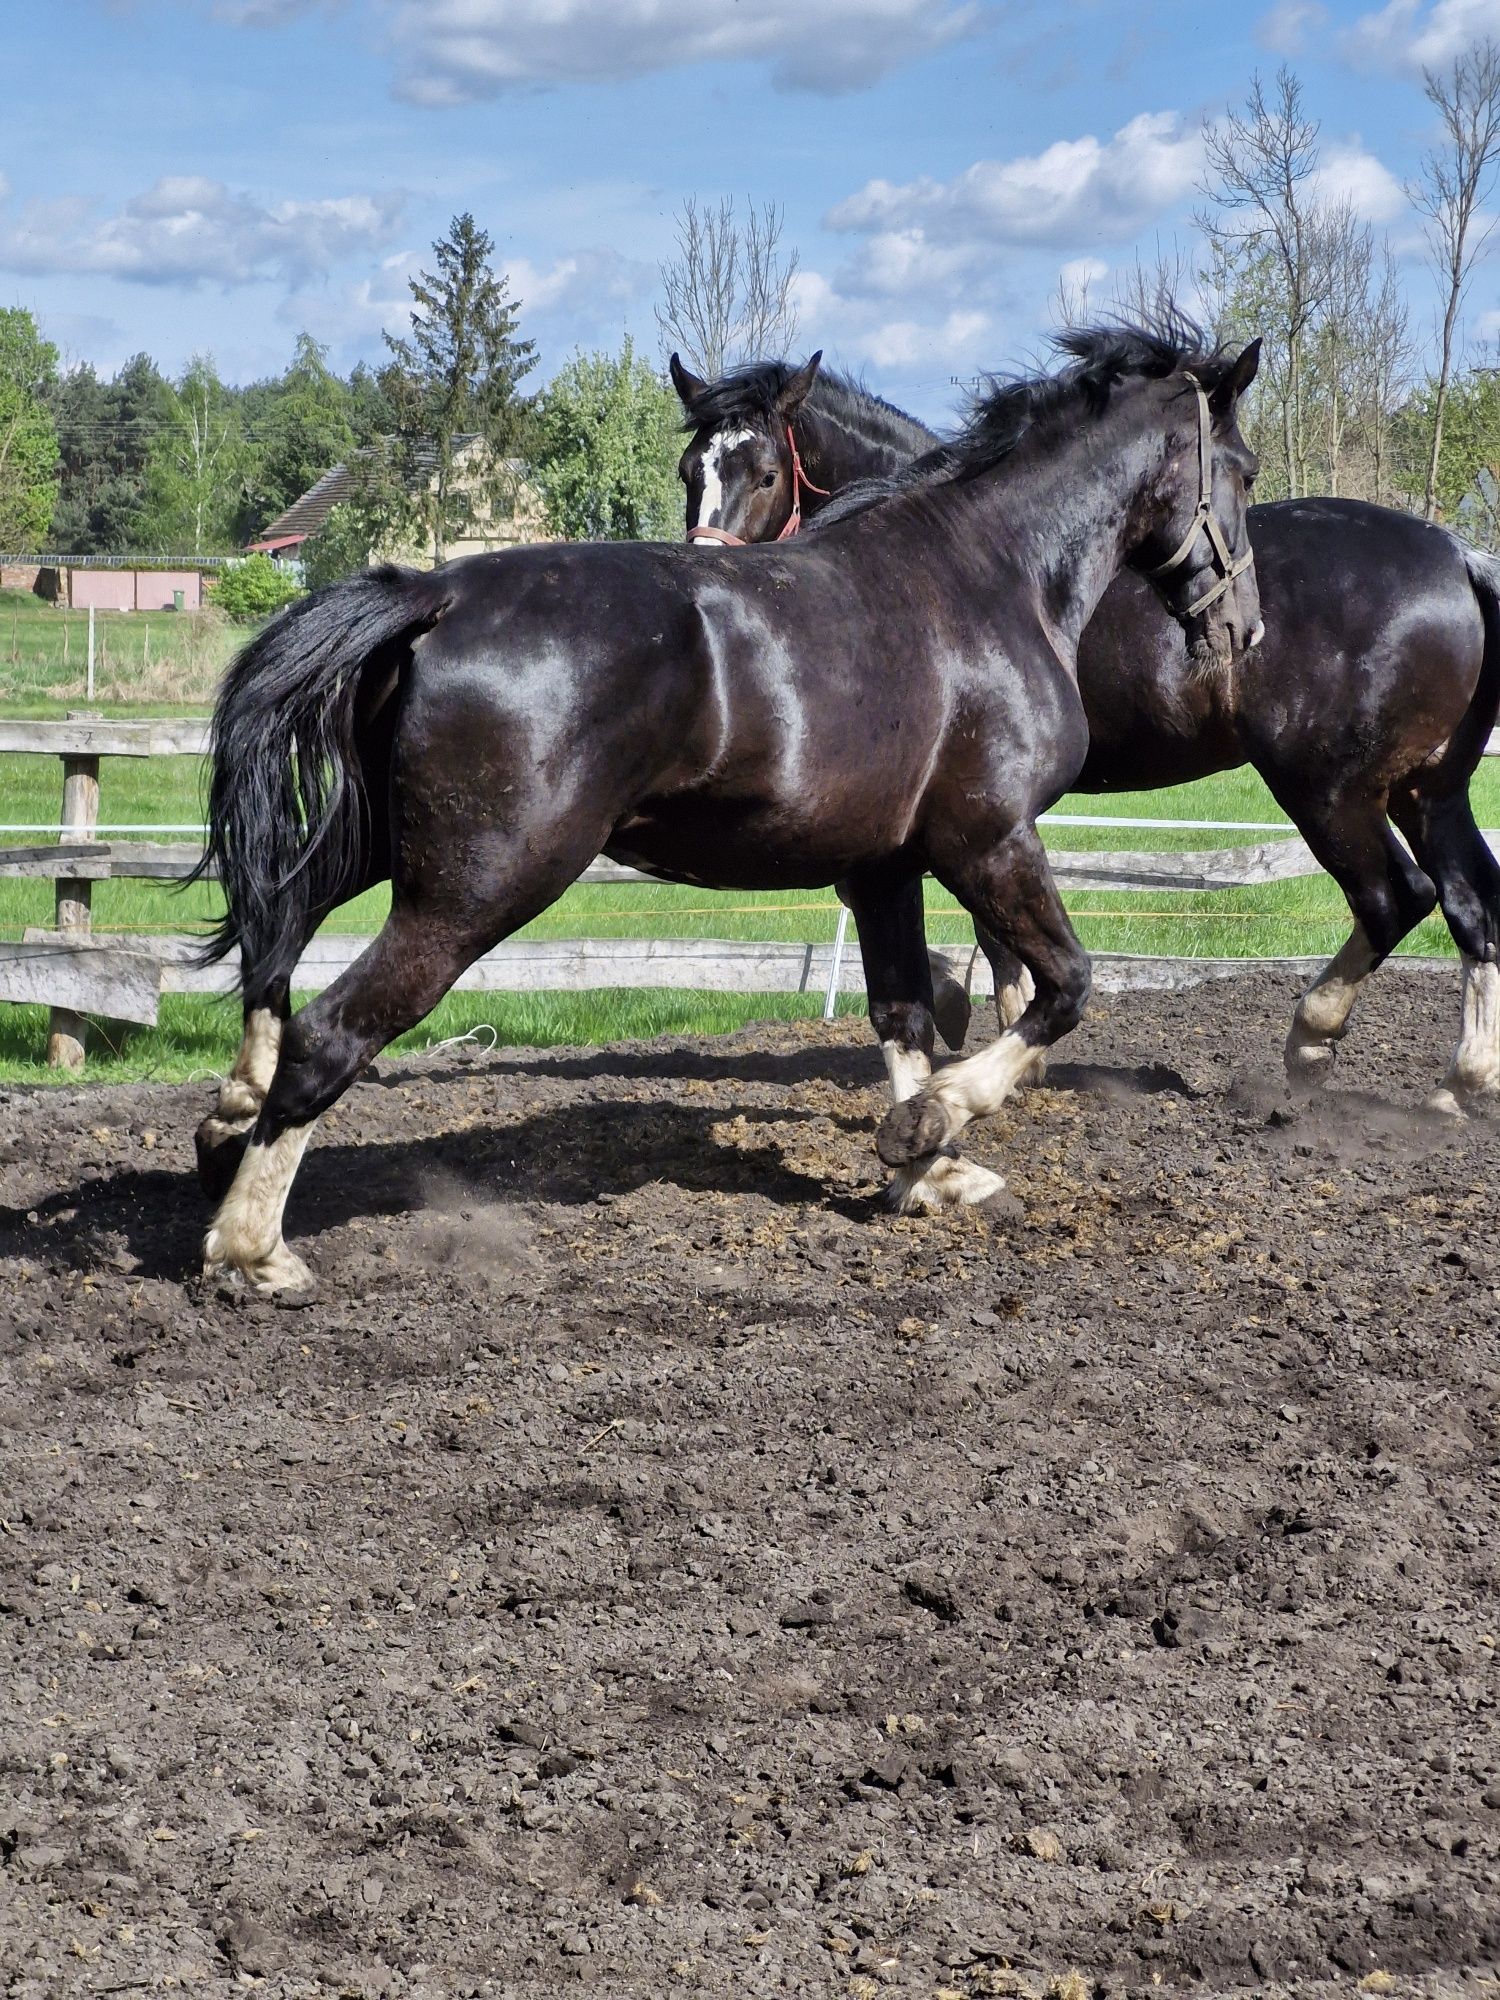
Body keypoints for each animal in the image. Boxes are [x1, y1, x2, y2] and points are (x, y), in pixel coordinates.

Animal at [194, 324, 1264, 1296]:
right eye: (1244, 474)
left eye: (759, 472)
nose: (1240, 628)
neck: (991, 577)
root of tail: (436, 595)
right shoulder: (988, 840)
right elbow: (1066, 986)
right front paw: (928, 1130)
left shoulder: (886, 865)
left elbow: (905, 1015)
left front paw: (930, 1173)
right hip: (478, 886)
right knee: (328, 1030)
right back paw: (252, 1249)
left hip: (387, 848)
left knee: (276, 939)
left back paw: (227, 1117)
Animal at [680, 356, 1500, 1112]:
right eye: (692, 468)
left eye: (764, 474)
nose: (707, 578)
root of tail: (1459, 555)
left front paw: (982, 1028)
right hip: (1427, 791)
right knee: (1472, 906)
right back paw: (1460, 1083)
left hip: (1328, 790)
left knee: (1397, 897)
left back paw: (1313, 1038)